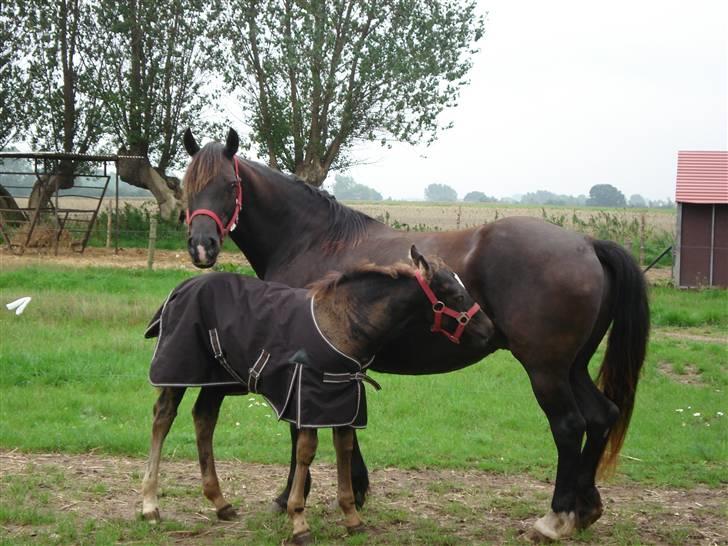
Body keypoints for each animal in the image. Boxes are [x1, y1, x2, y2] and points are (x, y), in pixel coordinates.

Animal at [181, 129, 648, 540]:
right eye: (186, 185)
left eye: (229, 185)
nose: (201, 246)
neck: (313, 241)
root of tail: (587, 243)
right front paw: (355, 491)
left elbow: (301, 432)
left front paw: (291, 499)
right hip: (573, 367)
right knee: (601, 416)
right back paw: (585, 510)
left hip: (546, 370)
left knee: (569, 426)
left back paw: (554, 519)